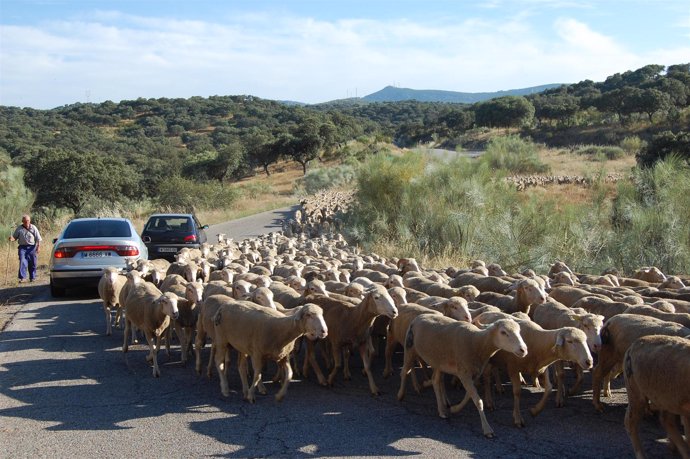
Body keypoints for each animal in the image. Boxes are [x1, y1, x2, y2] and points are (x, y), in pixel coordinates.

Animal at [396, 316, 524, 438]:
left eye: (519, 331)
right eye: (503, 332)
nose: (523, 349)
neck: (477, 342)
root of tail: (418, 317)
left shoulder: (474, 374)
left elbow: (469, 396)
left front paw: (455, 408)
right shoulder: (464, 373)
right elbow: (478, 401)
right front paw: (487, 430)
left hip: (438, 361)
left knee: (435, 380)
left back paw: (442, 410)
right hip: (410, 348)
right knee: (404, 371)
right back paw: (400, 395)